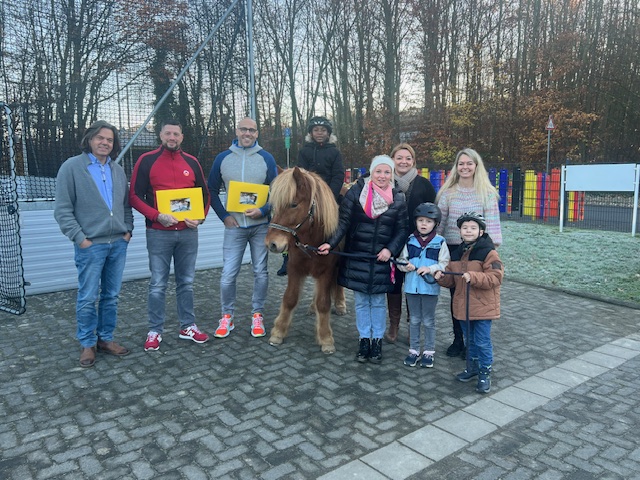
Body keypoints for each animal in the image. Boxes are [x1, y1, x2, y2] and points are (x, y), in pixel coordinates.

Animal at [264, 168, 344, 352]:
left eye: (293, 204)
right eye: (274, 205)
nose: (272, 244)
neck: (312, 240)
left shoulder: (326, 272)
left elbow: (324, 302)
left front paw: (325, 338)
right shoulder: (294, 268)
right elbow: (290, 298)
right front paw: (278, 331)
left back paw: (340, 304)